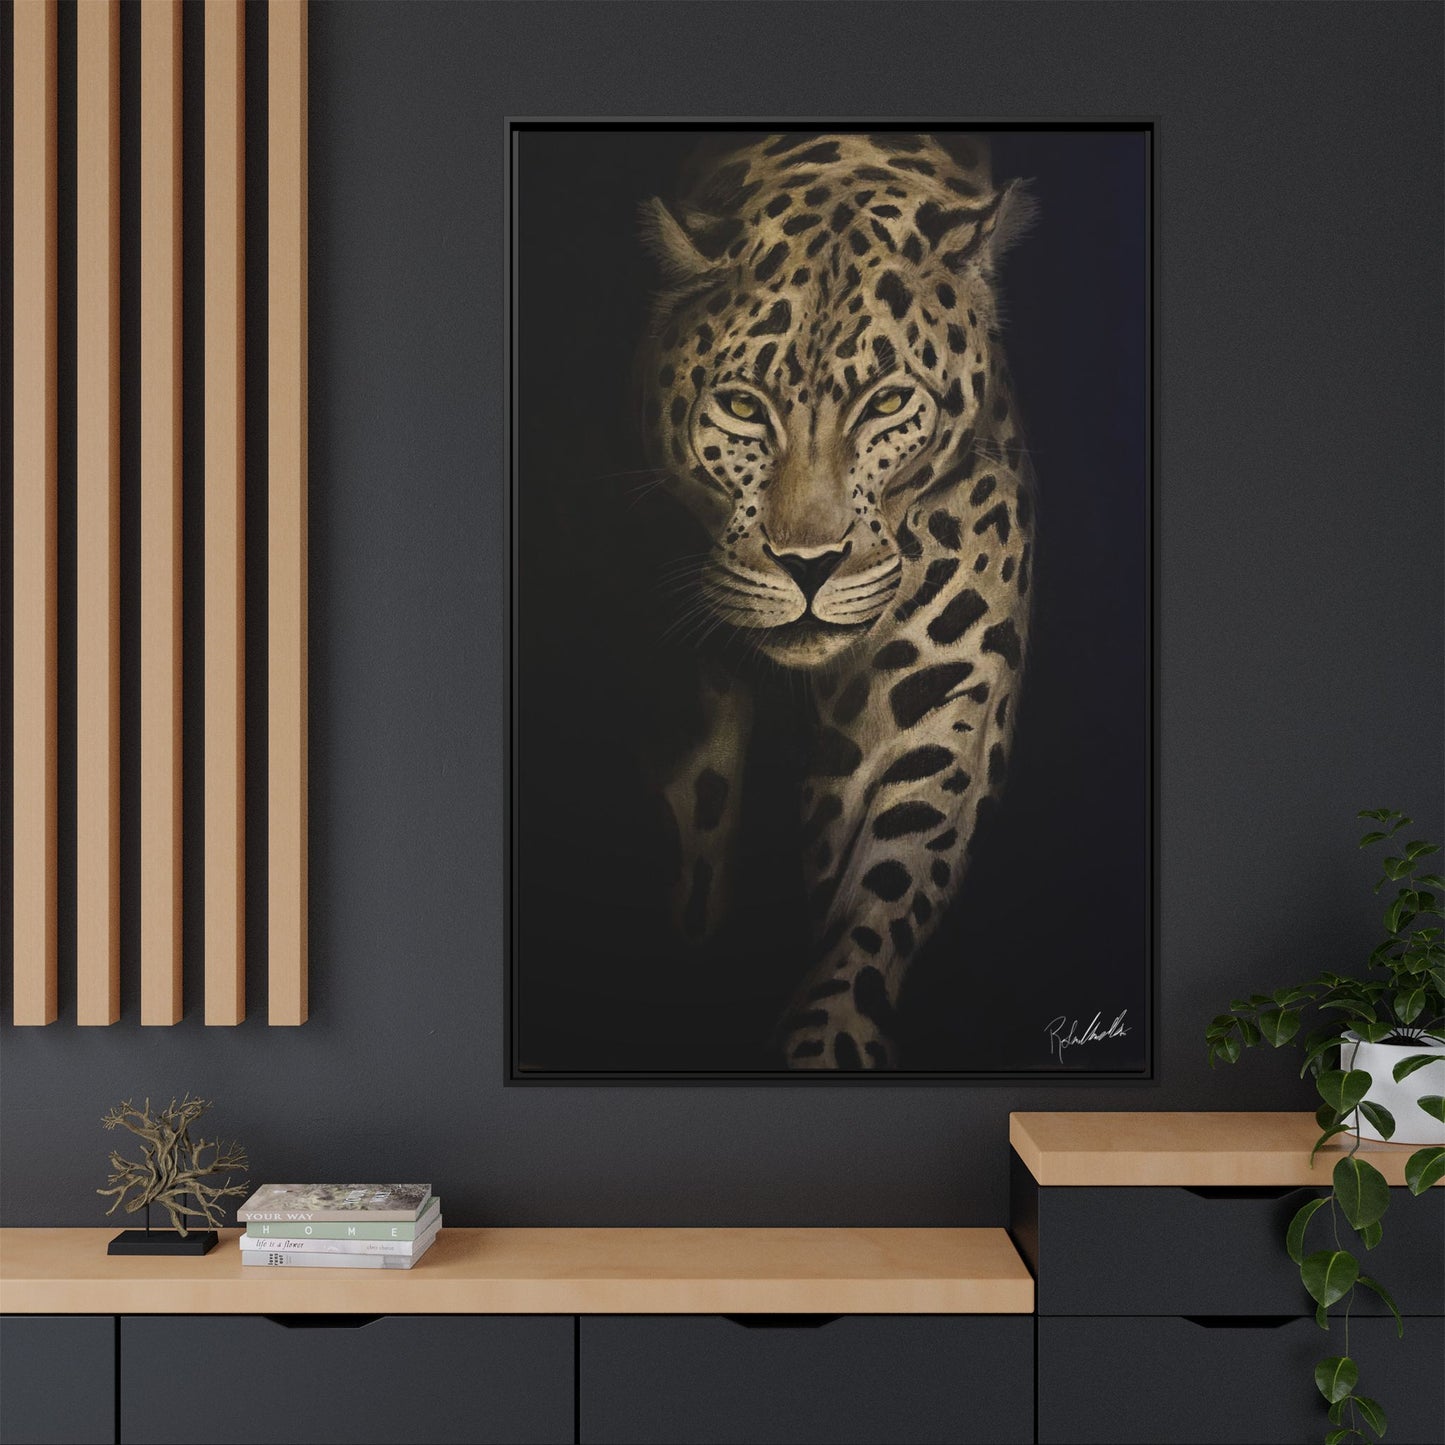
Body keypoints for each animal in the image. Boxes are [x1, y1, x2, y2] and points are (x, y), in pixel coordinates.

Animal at [636, 132, 1036, 1070]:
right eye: (741, 406)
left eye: (886, 402)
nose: (807, 566)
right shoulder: (690, 725)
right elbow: (693, 856)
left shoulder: (936, 704)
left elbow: (882, 892)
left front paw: (827, 1040)